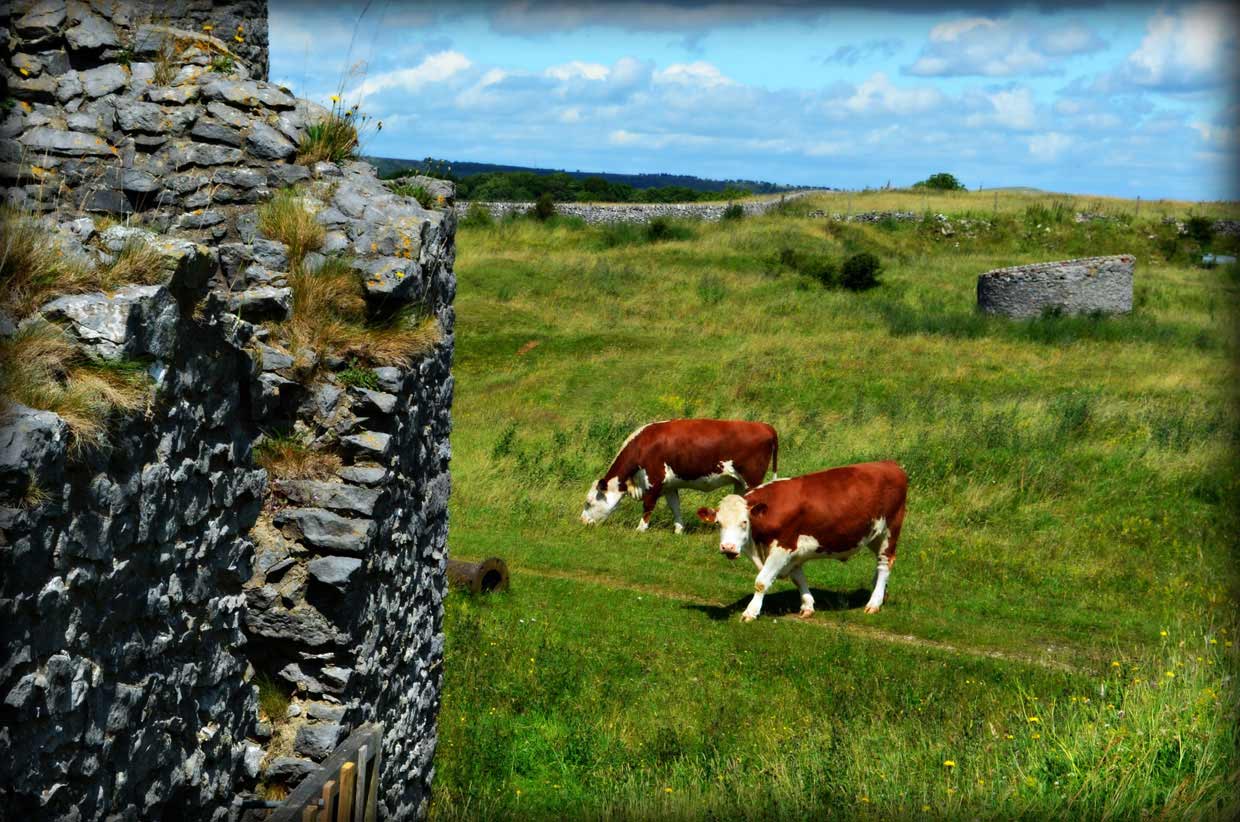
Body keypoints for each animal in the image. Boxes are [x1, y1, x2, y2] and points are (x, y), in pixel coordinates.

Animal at [577, 421, 773, 538]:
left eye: (589, 503)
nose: (582, 522)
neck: (643, 446)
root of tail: (765, 426)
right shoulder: (669, 486)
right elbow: (675, 506)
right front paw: (679, 530)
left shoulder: (654, 481)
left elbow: (648, 506)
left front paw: (641, 529)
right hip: (740, 484)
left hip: (752, 481)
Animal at [699, 463, 912, 624]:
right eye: (718, 523)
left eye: (744, 522)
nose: (728, 548)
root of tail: (891, 465)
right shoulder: (793, 551)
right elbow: (798, 578)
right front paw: (808, 606)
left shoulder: (783, 547)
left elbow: (761, 582)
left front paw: (750, 612)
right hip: (873, 535)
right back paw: (880, 593)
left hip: (890, 531)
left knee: (884, 563)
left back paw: (874, 603)